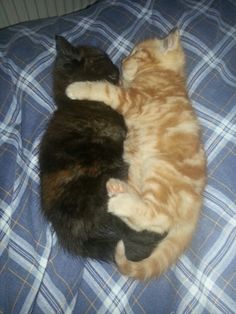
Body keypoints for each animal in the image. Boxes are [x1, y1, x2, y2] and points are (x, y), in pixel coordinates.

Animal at [65, 29, 206, 280]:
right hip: (135, 169)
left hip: (159, 172)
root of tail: (195, 206)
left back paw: (119, 202)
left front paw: (77, 87)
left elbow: (103, 88)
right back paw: (117, 189)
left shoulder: (130, 98)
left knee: (157, 217)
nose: (123, 60)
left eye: (137, 52)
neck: (166, 75)